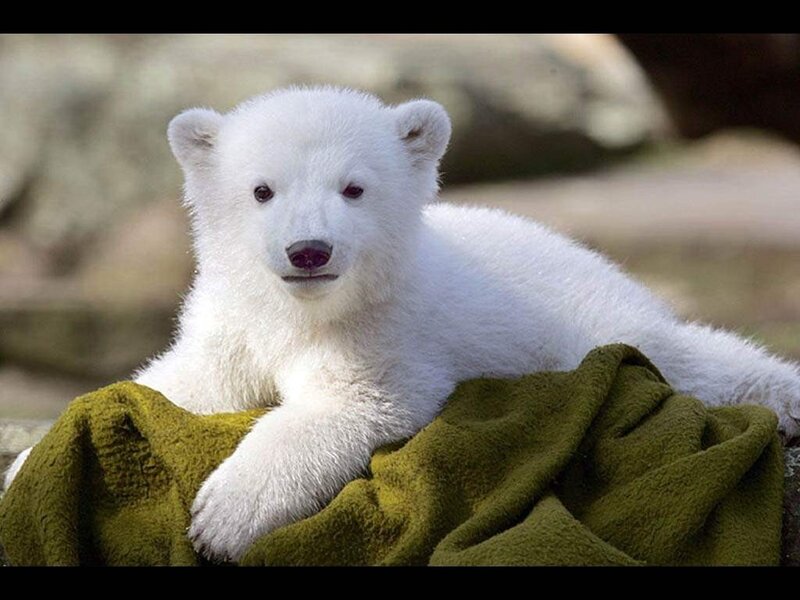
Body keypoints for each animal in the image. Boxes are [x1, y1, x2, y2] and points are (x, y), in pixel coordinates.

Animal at [6, 86, 800, 562]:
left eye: (354, 188)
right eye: (261, 191)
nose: (309, 250)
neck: (306, 310)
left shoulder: (386, 332)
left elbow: (349, 404)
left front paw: (224, 516)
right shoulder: (235, 320)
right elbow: (183, 380)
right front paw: (26, 460)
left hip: (592, 320)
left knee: (688, 355)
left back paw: (781, 397)